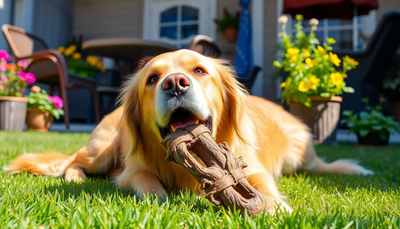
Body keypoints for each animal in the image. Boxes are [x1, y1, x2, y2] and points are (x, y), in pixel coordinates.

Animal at [6, 49, 374, 214]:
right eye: (153, 78)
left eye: (199, 70)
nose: (175, 83)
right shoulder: (132, 170)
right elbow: (145, 180)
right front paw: (158, 196)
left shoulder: (250, 168)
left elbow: (264, 186)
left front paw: (272, 206)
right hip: (103, 149)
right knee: (73, 163)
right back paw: (75, 178)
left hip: (301, 156)